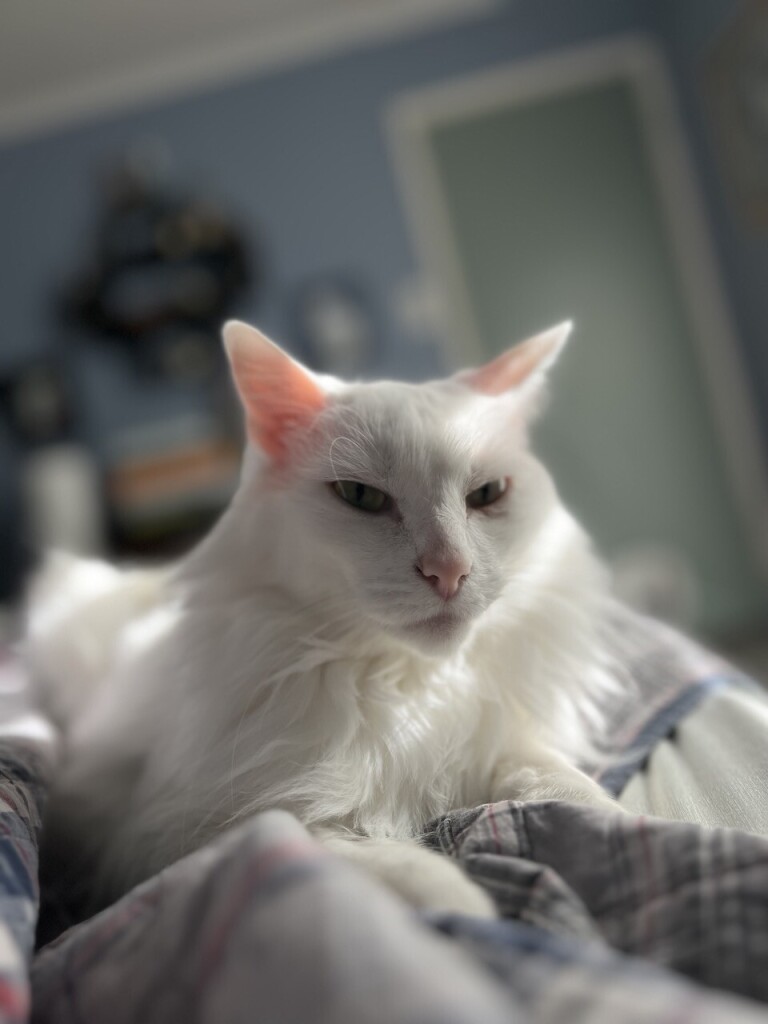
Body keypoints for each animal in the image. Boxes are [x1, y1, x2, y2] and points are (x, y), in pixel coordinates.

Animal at [27, 319, 622, 921]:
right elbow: (375, 859)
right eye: (361, 496)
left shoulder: (494, 743)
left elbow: (567, 788)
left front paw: (620, 822)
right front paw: (468, 910)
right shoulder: (187, 831)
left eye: (487, 494)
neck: (407, 688)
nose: (449, 570)